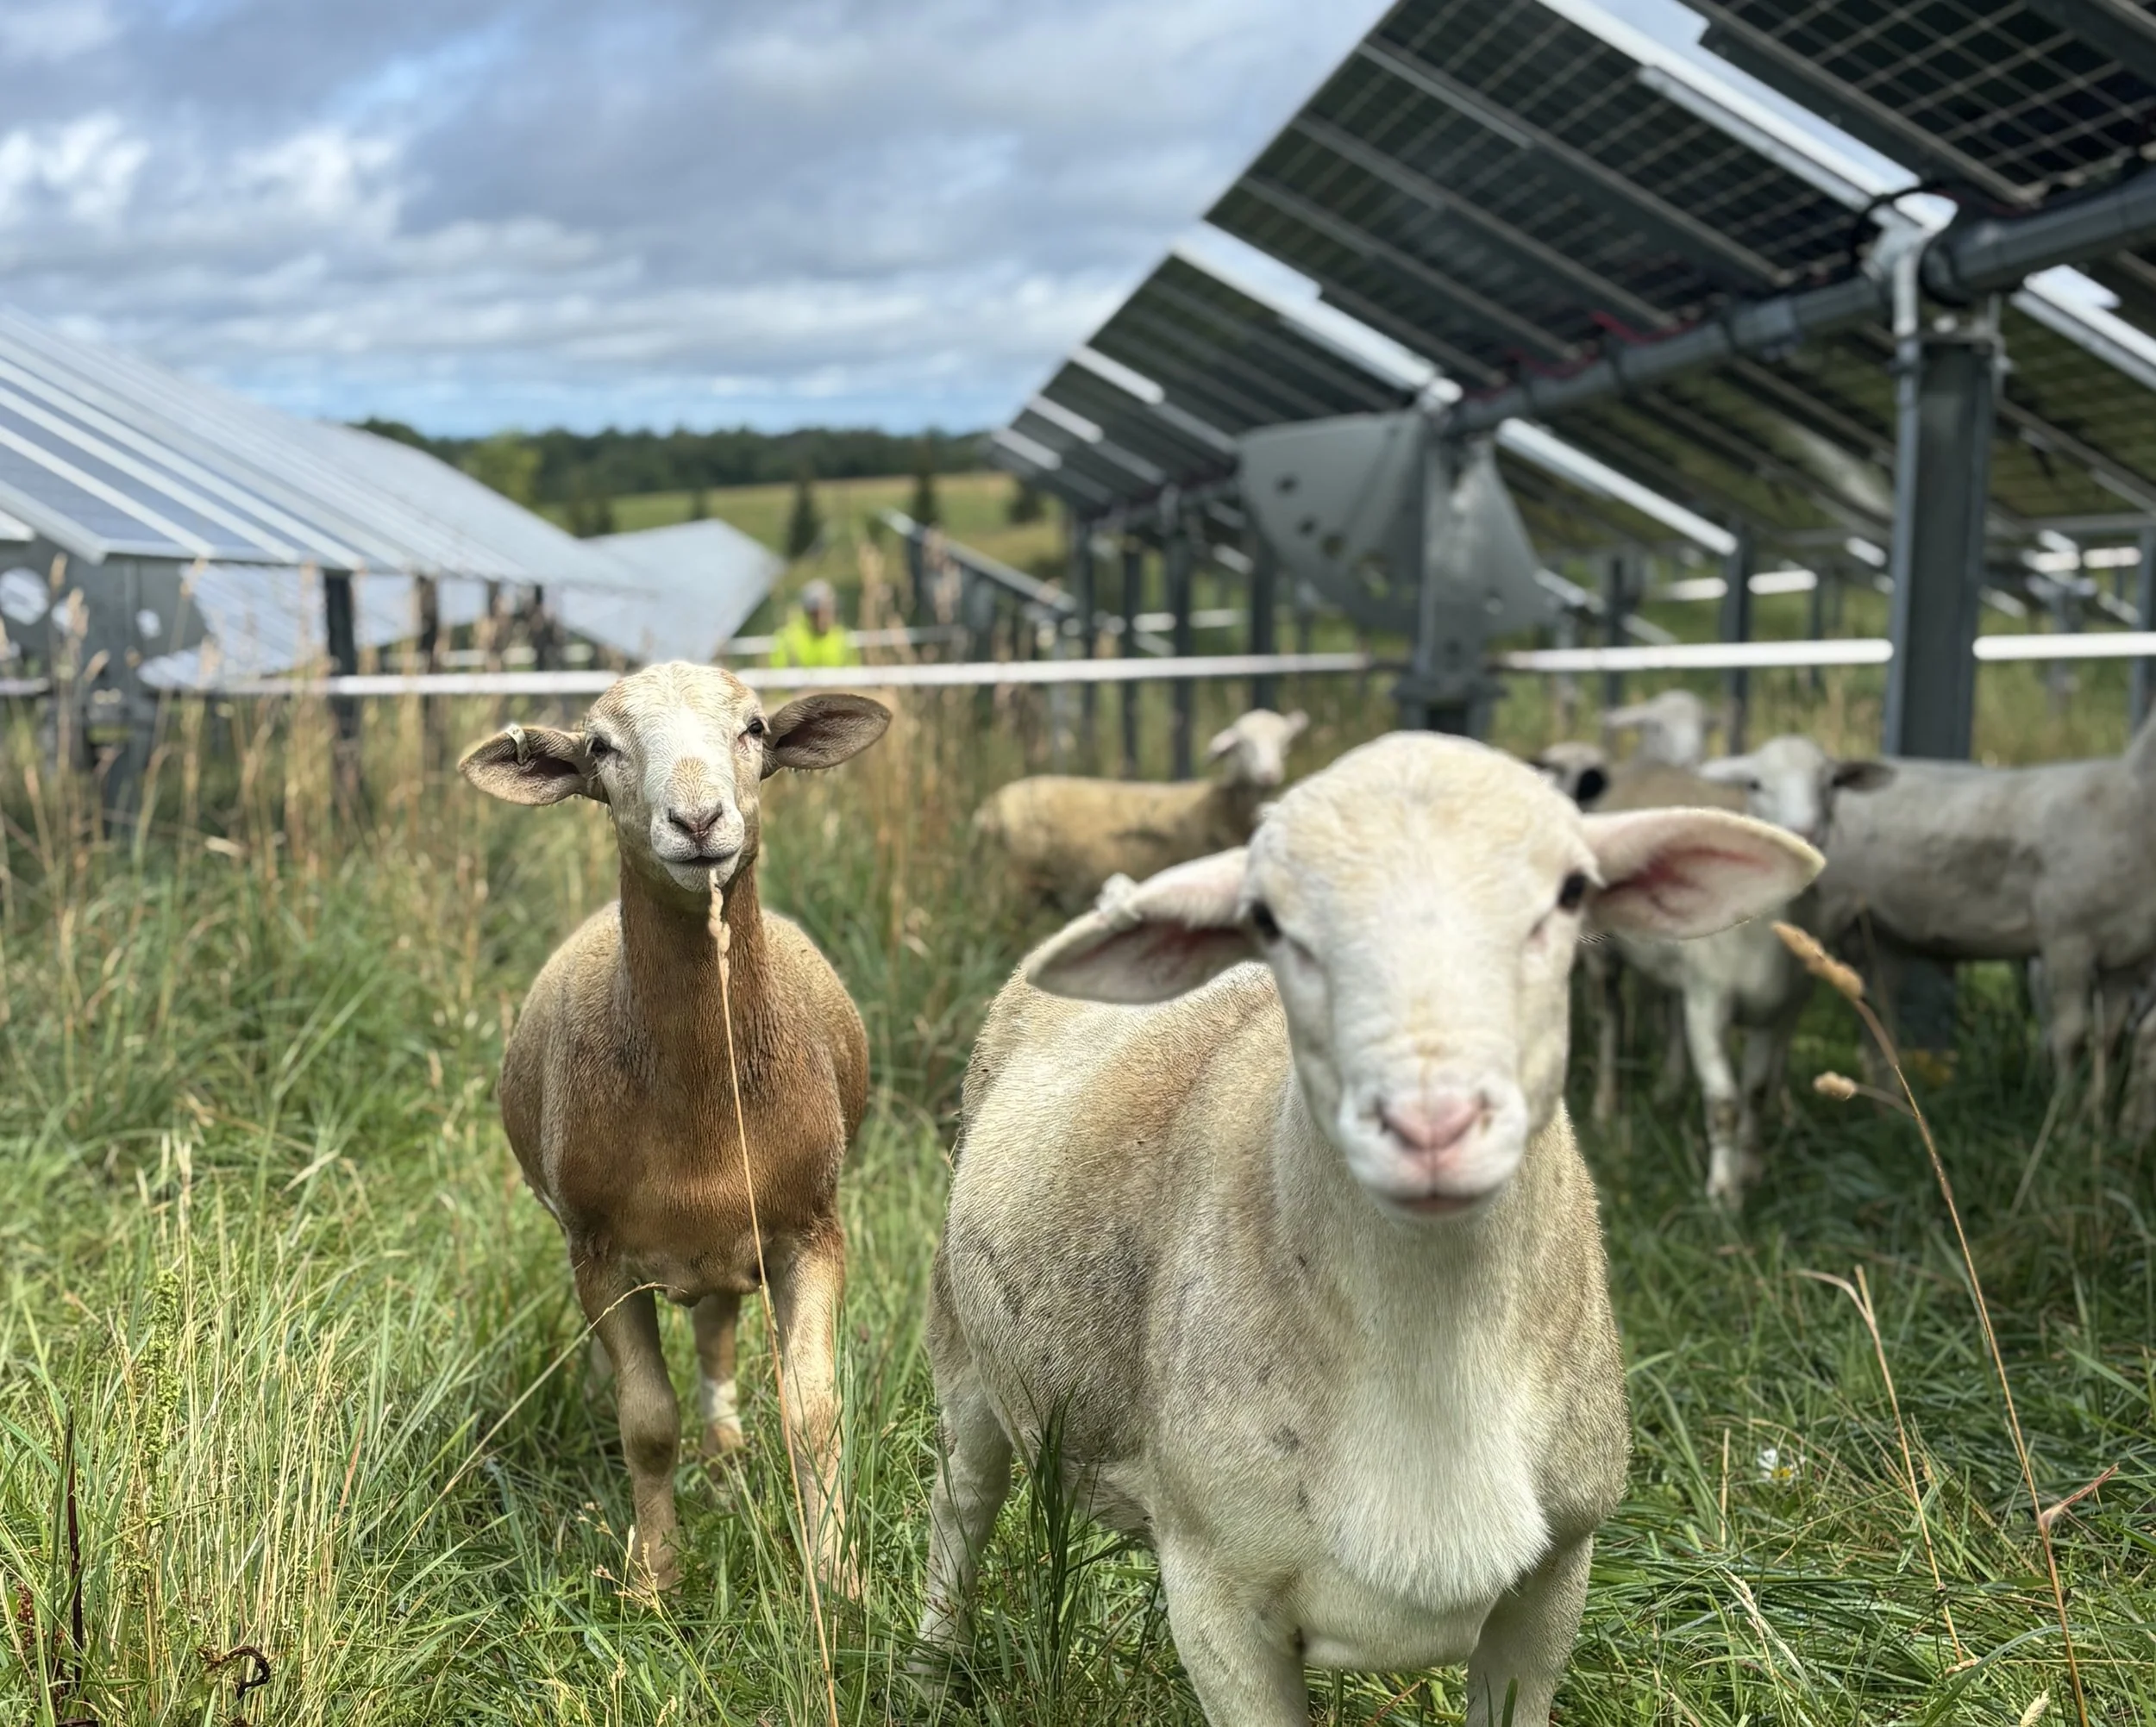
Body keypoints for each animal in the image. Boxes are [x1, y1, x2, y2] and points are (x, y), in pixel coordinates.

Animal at [458, 662, 890, 1595]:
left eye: (755, 727)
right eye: (599, 746)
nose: (696, 821)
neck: (701, 1104)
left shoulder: (813, 1228)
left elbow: (813, 1412)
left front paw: (836, 1582)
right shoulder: (599, 1252)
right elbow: (647, 1421)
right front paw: (653, 1578)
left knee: (718, 1334)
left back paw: (726, 1457)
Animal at [914, 733, 1820, 1724]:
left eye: (1573, 890)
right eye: (1267, 918)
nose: (1432, 1123)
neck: (1435, 1364)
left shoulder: (1555, 1576)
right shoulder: (1217, 1603)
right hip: (962, 1345)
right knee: (963, 1503)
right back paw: (930, 1670)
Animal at [974, 708, 1307, 912]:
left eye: (1285, 745)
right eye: (1240, 745)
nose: (1269, 775)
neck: (1222, 808)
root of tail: (989, 808)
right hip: (1015, 879)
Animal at [1604, 738, 1890, 1205]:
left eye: (1832, 783)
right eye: (1755, 784)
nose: (1805, 831)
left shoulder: (1771, 1010)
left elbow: (1754, 1092)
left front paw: (1751, 1169)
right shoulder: (1710, 1004)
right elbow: (1724, 1103)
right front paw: (1723, 1192)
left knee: (1672, 1012)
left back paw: (1668, 1088)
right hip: (1607, 960)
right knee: (1612, 1019)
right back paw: (1606, 1104)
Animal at [1819, 710, 2156, 1095]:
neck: (2131, 799)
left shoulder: (2126, 957)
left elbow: (2108, 1039)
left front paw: (2095, 1110)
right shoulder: (2067, 940)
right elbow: (2071, 1037)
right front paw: (2064, 1106)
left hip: (1879, 938)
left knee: (1877, 1028)